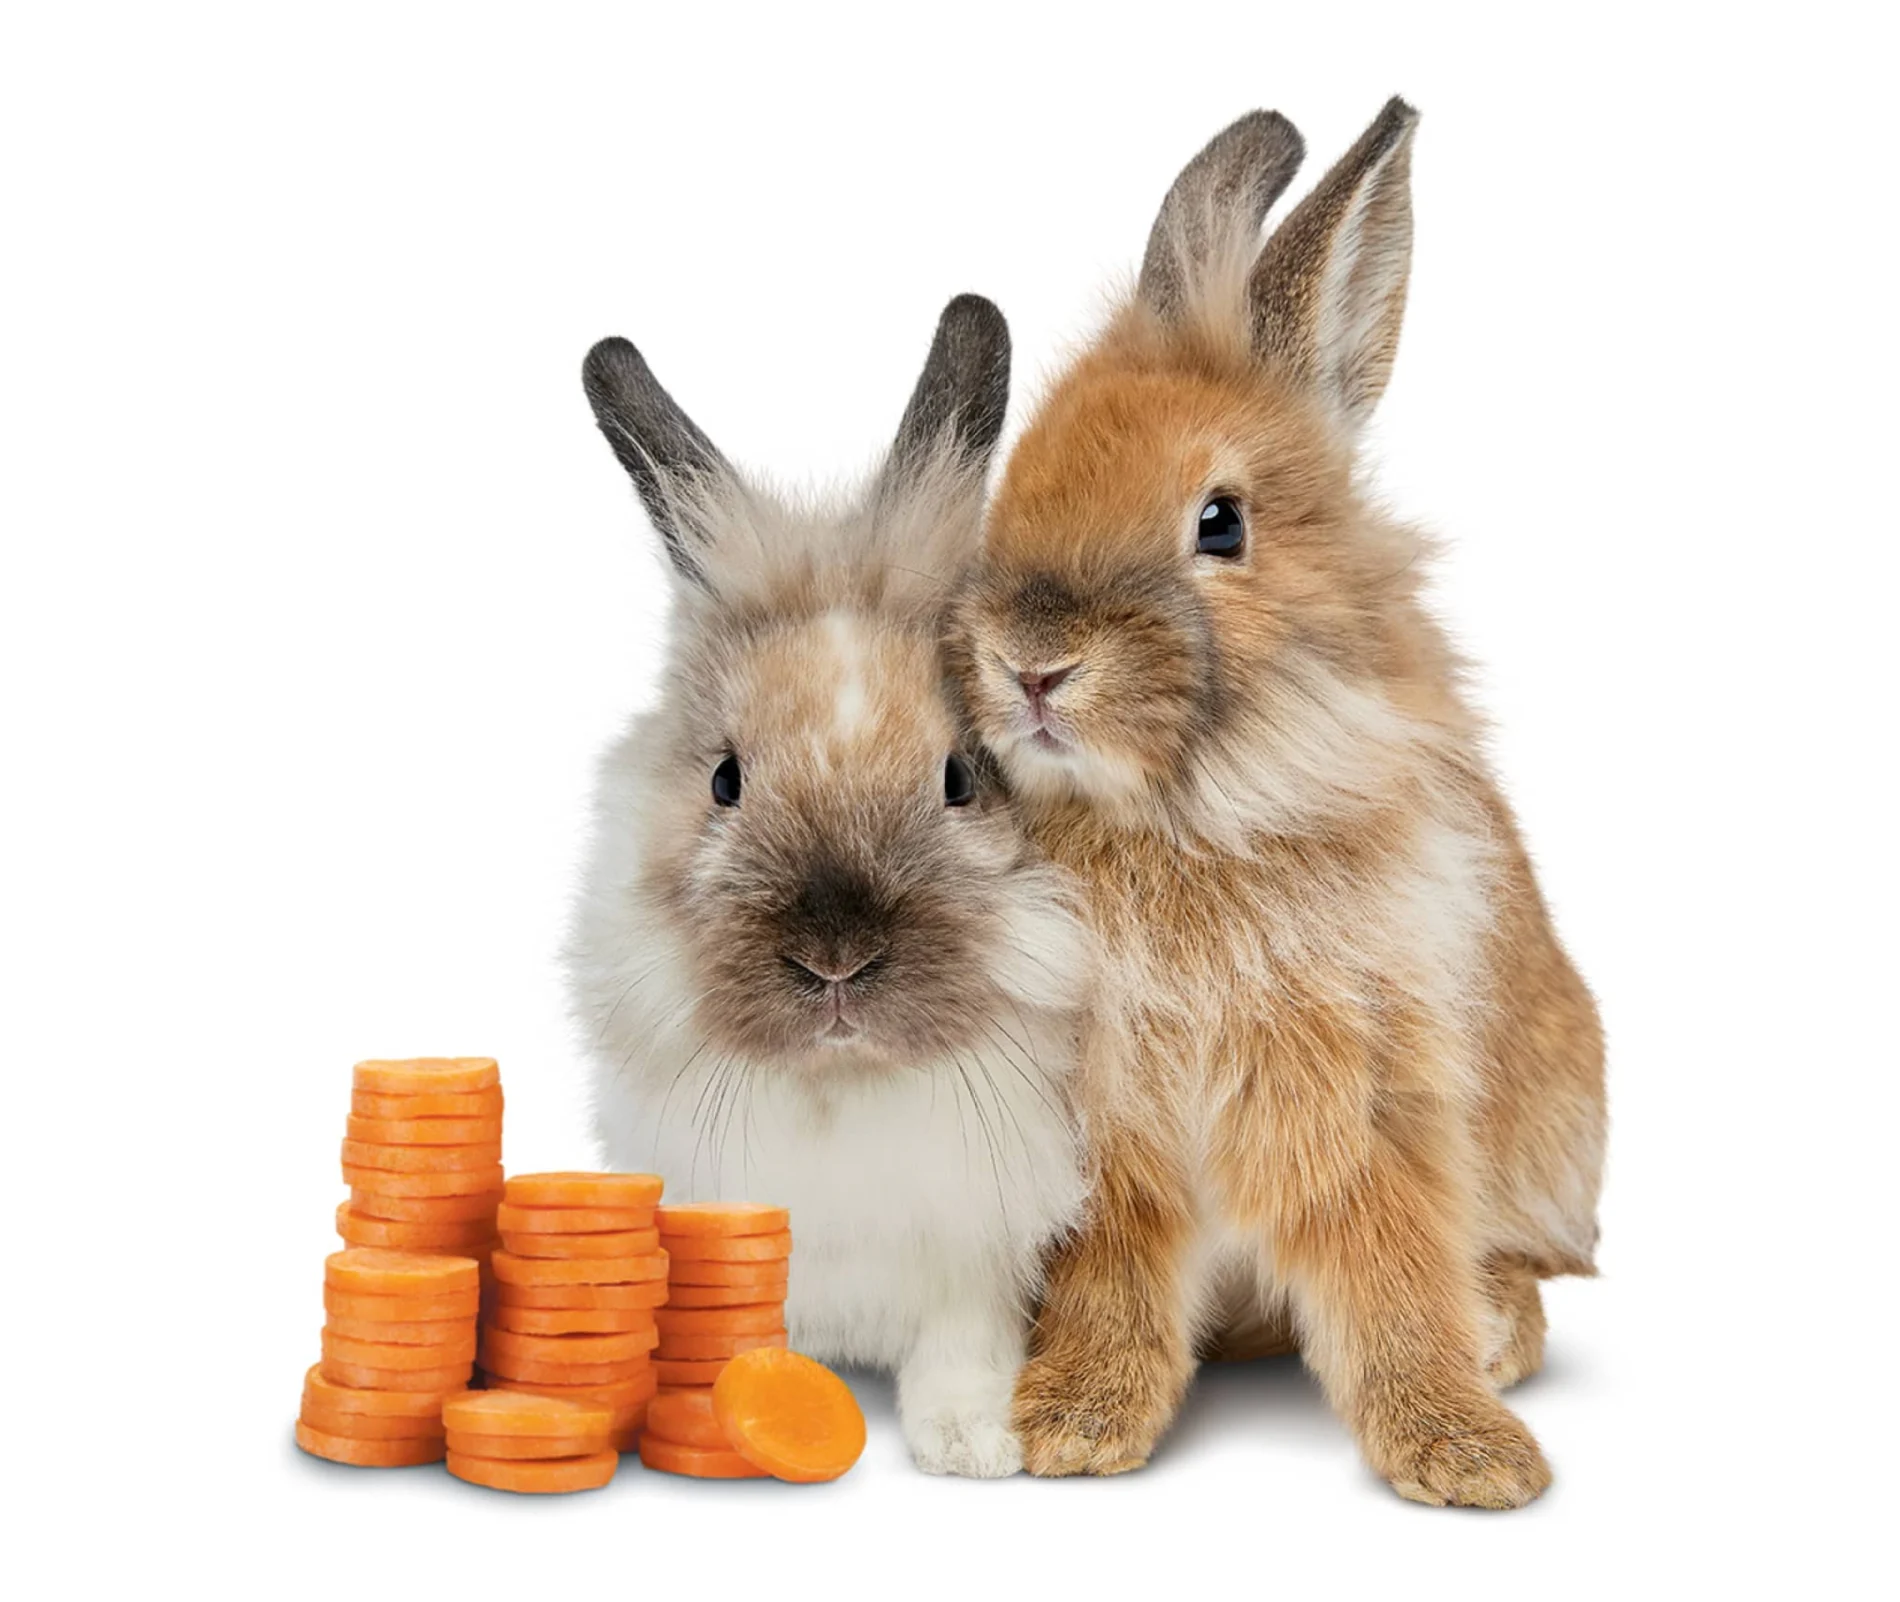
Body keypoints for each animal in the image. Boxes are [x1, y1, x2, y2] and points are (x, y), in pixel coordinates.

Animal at [562, 290, 1094, 1482]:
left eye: (960, 778)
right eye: (725, 778)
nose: (837, 956)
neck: (844, 1086)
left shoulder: (979, 1248)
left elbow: (961, 1344)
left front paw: (972, 1443)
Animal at [950, 106, 1603, 1512]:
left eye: (1220, 522)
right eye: (1016, 482)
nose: (1032, 663)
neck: (1187, 814)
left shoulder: (1369, 1087)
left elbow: (1390, 1266)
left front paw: (1468, 1458)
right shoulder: (1107, 1132)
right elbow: (1115, 1275)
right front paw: (1072, 1426)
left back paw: (1500, 1338)